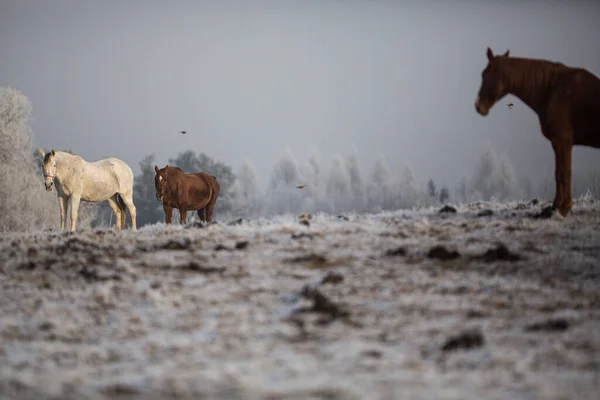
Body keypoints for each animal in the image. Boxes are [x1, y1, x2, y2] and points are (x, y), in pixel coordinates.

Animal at [474, 47, 600, 217]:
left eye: (486, 74)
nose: (478, 106)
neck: (551, 89)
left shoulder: (563, 140)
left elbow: (563, 173)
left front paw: (563, 208)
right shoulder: (558, 142)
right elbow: (558, 173)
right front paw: (556, 206)